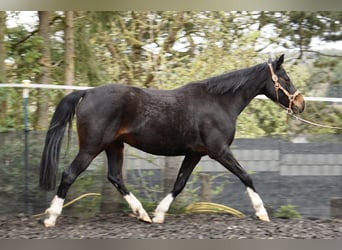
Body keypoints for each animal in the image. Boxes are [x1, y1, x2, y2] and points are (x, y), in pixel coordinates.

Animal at [39, 54, 304, 227]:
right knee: (69, 174)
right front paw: (262, 213)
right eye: (286, 78)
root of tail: (87, 92)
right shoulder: (219, 150)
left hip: (114, 146)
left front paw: (159, 214)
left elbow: (179, 184)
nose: (301, 104)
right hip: (92, 147)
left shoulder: (195, 153)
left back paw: (142, 214)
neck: (219, 102)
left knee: (115, 177)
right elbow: (246, 176)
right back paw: (51, 217)